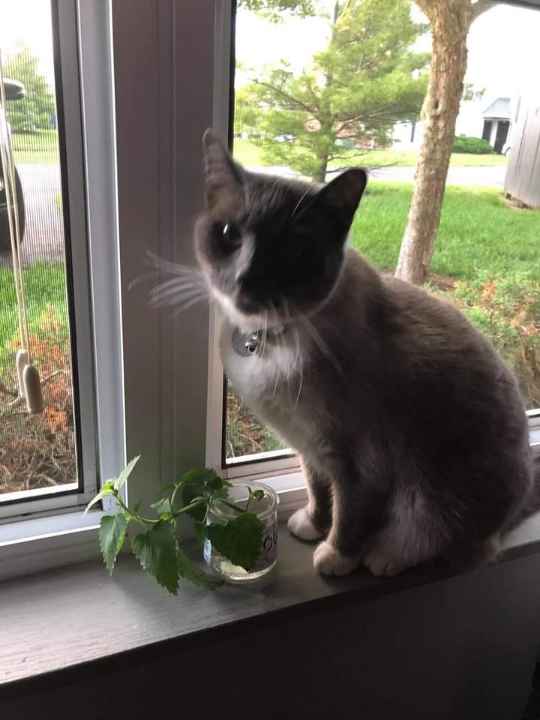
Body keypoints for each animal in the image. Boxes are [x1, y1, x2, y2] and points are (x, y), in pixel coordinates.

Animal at [192, 128, 536, 578]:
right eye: (229, 234)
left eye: (291, 251)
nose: (245, 279)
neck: (273, 339)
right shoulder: (309, 445)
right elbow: (319, 492)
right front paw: (311, 525)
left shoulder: (358, 458)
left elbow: (350, 512)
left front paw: (335, 557)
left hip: (434, 501)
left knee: (451, 544)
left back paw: (383, 557)